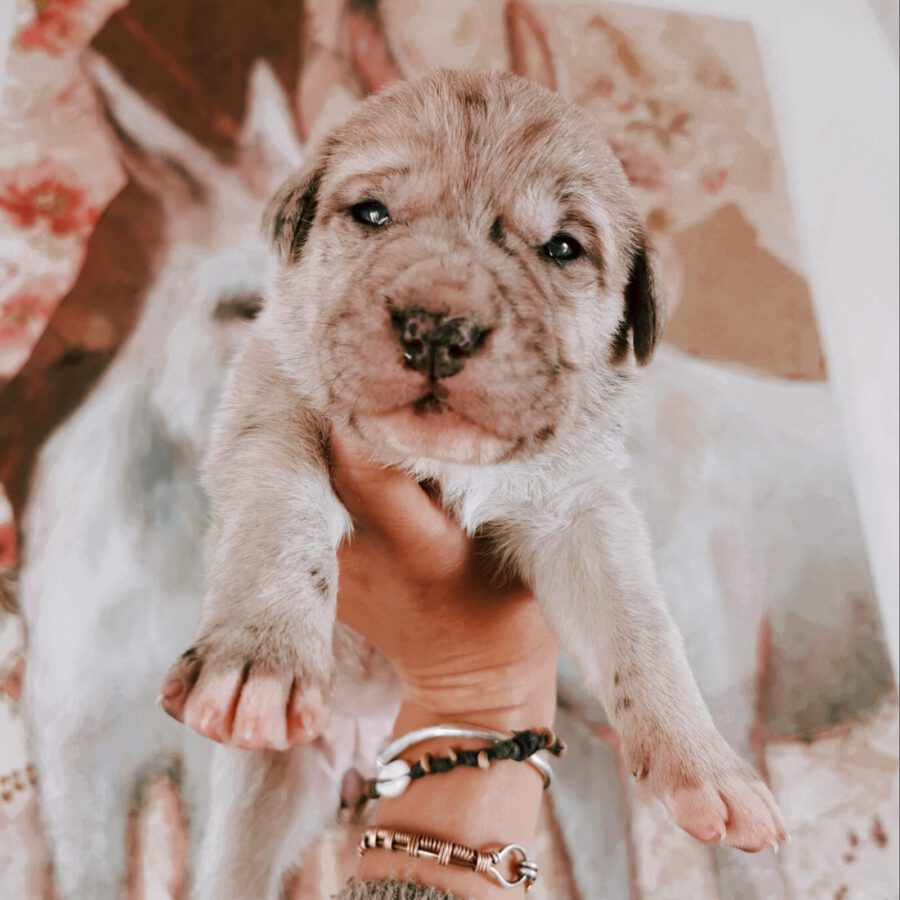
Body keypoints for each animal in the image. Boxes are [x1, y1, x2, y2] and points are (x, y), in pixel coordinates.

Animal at [157, 69, 786, 898]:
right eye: (372, 213)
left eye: (561, 247)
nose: (436, 329)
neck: (443, 461)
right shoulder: (272, 394)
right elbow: (278, 505)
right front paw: (263, 653)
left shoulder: (581, 511)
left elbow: (642, 634)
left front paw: (707, 768)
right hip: (262, 790)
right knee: (234, 866)